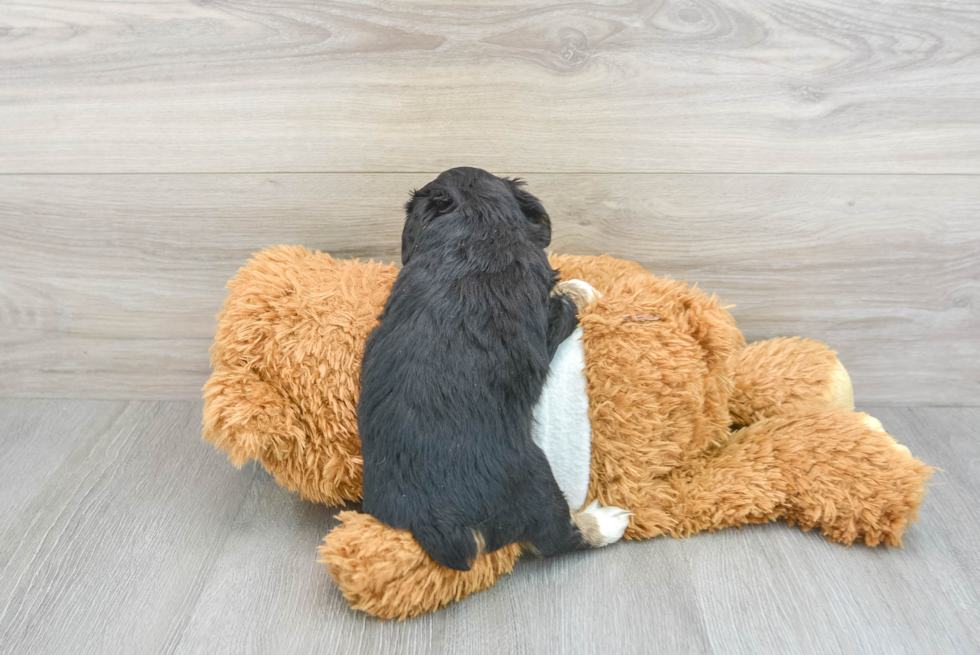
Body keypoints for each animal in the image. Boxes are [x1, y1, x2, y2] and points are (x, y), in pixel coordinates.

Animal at [358, 167, 628, 572]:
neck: (477, 223)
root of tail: (438, 521)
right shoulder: (548, 323)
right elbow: (565, 301)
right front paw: (583, 289)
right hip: (537, 481)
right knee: (556, 536)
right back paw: (607, 521)